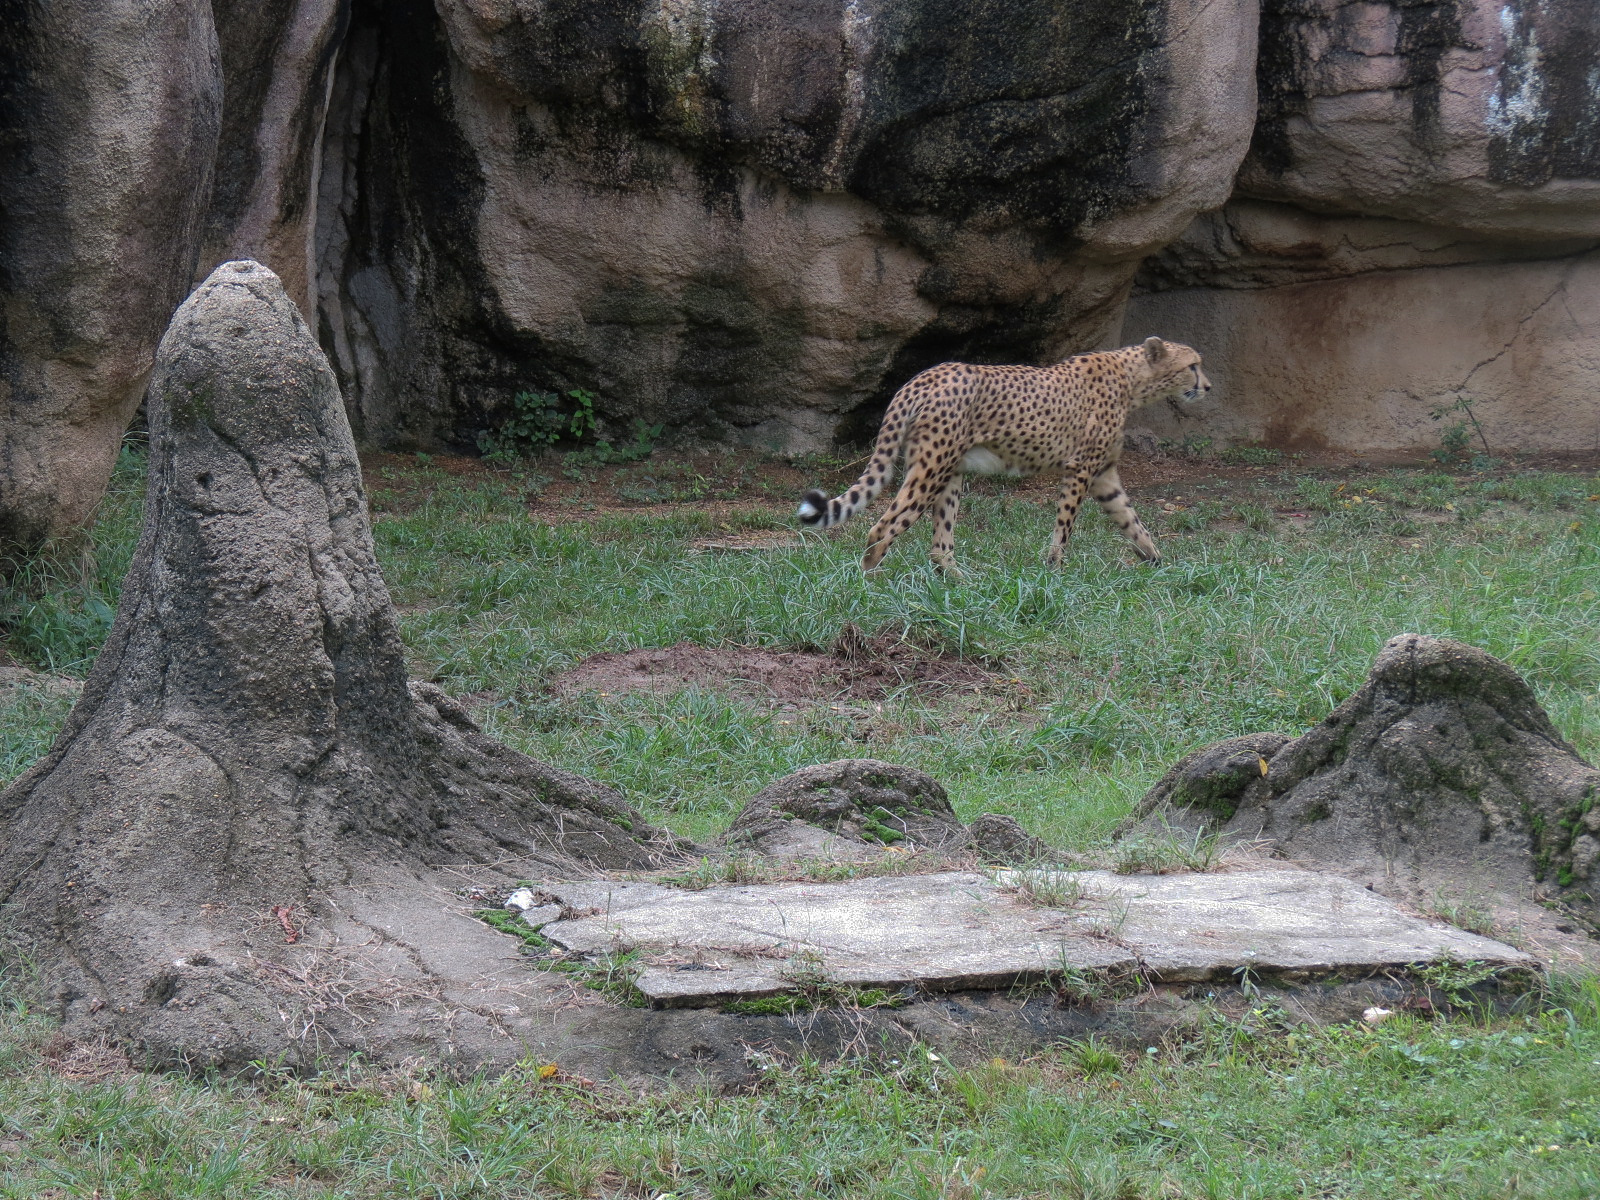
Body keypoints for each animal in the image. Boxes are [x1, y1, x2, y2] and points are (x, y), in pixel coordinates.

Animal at [796, 336, 1210, 572]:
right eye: (1192, 365)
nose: (1207, 386)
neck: (1132, 379)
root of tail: (925, 375)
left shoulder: (1104, 474)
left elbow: (1131, 520)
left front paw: (1157, 563)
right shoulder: (1080, 468)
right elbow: (1065, 525)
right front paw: (1054, 570)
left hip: (949, 471)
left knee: (939, 544)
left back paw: (961, 587)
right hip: (931, 468)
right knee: (882, 527)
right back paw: (872, 582)